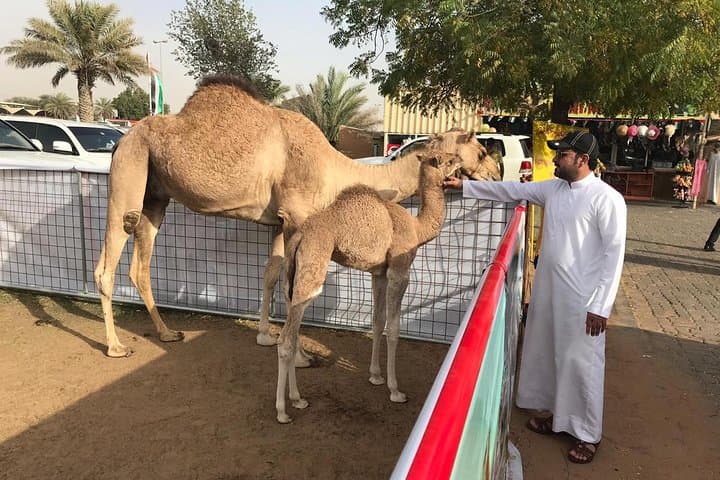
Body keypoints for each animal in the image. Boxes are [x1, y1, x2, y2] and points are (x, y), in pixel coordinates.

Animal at [94, 74, 500, 358]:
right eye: (480, 150)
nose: (496, 174)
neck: (334, 169)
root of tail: (121, 139)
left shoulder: (280, 220)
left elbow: (272, 276)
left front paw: (264, 335)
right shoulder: (298, 214)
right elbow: (294, 290)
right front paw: (301, 355)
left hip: (155, 197)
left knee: (140, 266)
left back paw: (166, 332)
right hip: (129, 176)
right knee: (106, 264)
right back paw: (115, 346)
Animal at [275, 150, 461, 423]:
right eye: (447, 160)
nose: (460, 160)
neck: (417, 228)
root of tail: (300, 236)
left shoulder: (379, 274)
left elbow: (377, 321)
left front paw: (375, 375)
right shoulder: (399, 272)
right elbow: (393, 329)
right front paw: (395, 390)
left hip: (292, 277)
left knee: (293, 329)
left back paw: (298, 399)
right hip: (312, 270)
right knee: (286, 340)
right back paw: (282, 411)